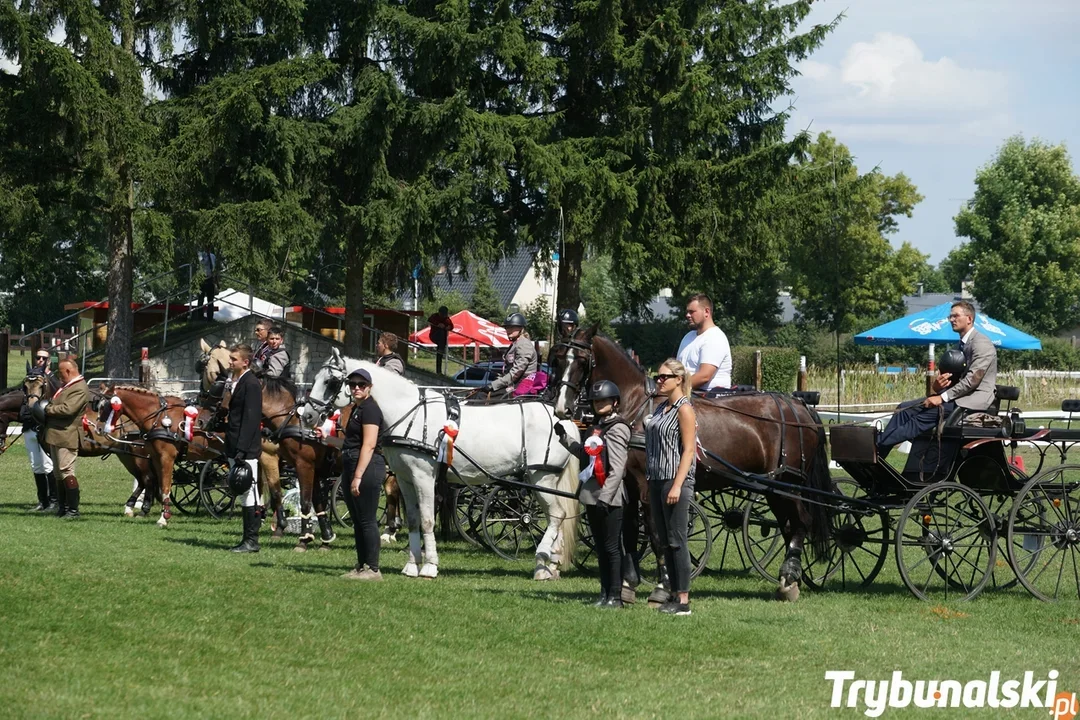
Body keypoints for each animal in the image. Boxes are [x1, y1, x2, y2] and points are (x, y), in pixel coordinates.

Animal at [311, 349, 583, 578]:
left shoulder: (423, 476)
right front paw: (412, 565)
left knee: (556, 515)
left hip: (541, 477)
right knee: (557, 516)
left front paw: (429, 566)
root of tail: (564, 421)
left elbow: (427, 520)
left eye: (330, 382)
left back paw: (542, 563)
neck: (409, 413)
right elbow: (413, 519)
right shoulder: (404, 478)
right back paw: (552, 565)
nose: (309, 414)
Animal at [552, 330, 829, 600]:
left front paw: (662, 585)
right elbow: (629, 533)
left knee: (801, 522)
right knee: (788, 525)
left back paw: (790, 576)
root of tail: (799, 407)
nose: (562, 408)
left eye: (581, 361)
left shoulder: (648, 487)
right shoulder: (627, 484)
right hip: (773, 488)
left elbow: (656, 535)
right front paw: (629, 584)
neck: (637, 408)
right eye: (558, 359)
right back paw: (789, 579)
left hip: (788, 485)